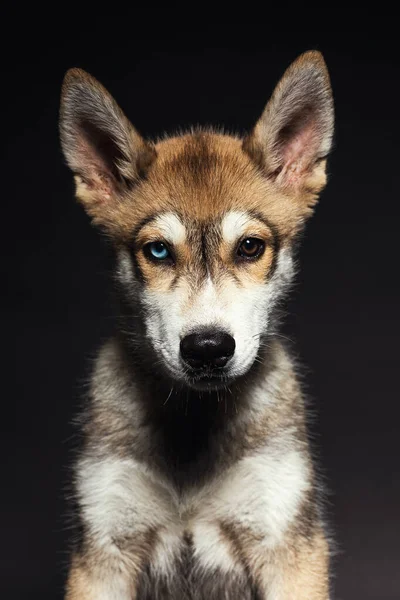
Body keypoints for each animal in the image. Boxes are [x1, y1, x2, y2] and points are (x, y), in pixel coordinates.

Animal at [59, 51, 334, 600]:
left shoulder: (286, 543)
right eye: (158, 251)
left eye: (250, 246)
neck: (193, 425)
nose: (207, 348)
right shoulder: (104, 549)